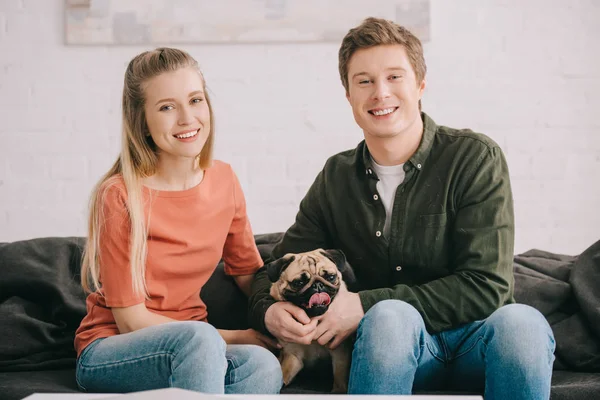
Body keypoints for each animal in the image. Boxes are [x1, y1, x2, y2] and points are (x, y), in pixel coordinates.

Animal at [264, 248, 354, 392]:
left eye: (330, 277)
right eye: (299, 283)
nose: (318, 285)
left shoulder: (340, 353)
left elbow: (340, 377)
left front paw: (338, 391)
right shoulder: (293, 356)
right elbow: (284, 374)